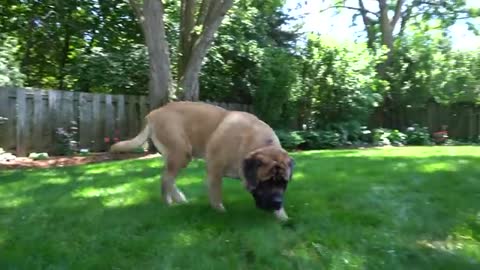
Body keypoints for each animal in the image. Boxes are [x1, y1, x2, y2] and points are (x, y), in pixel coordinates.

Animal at [110, 100, 294, 219]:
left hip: (178, 156)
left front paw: (283, 217)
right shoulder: (214, 171)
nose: (277, 202)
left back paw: (179, 199)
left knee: (169, 177)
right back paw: (169, 202)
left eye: (283, 183)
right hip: (181, 153)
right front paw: (220, 212)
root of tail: (153, 114)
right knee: (166, 178)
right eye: (265, 182)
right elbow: (216, 194)